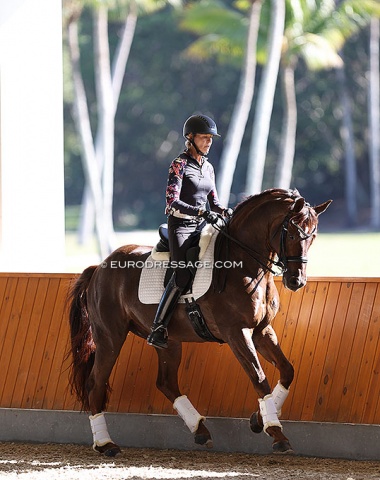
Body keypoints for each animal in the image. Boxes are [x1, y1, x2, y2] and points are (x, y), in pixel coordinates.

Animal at [69, 188, 332, 458]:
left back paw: (200, 430)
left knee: (166, 382)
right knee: (95, 383)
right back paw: (105, 444)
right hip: (110, 337)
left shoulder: (261, 331)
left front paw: (259, 420)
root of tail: (99, 267)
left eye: (313, 236)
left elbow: (287, 370)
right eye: (291, 233)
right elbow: (258, 377)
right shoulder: (237, 334)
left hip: (169, 342)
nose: (296, 281)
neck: (244, 264)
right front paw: (276, 431)